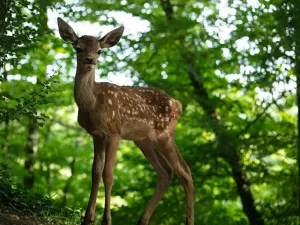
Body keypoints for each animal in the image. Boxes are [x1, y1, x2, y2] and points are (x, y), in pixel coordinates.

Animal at [56, 16, 195, 225]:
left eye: (99, 50)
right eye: (78, 48)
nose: (90, 60)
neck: (92, 102)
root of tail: (178, 104)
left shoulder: (115, 132)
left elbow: (108, 174)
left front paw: (106, 220)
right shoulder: (97, 135)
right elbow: (95, 172)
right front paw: (88, 219)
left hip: (163, 135)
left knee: (185, 172)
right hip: (144, 141)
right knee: (166, 172)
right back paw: (142, 220)